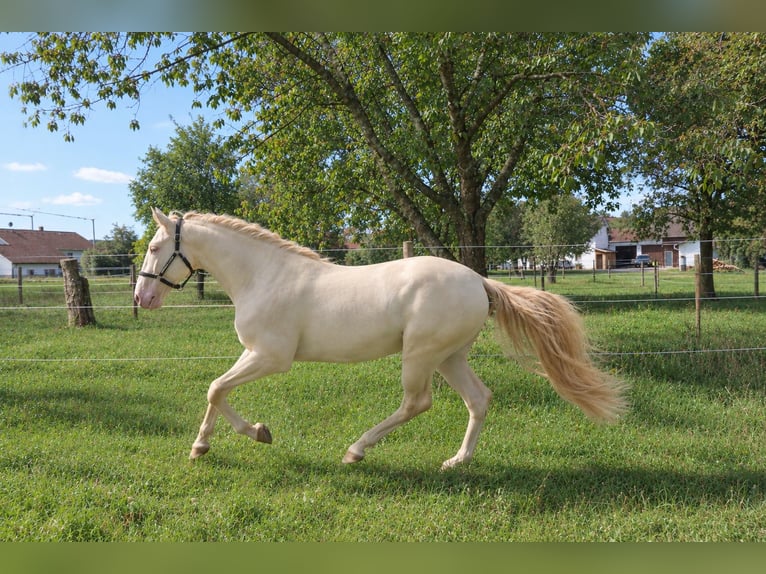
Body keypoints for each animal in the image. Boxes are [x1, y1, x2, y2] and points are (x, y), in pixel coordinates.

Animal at [134, 208, 627, 470]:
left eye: (155, 248)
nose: (142, 297)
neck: (264, 275)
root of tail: (480, 281)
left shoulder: (271, 357)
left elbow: (216, 387)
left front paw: (251, 434)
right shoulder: (251, 352)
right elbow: (217, 389)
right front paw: (210, 444)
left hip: (422, 355)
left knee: (417, 403)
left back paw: (356, 450)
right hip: (450, 357)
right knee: (479, 399)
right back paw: (457, 461)